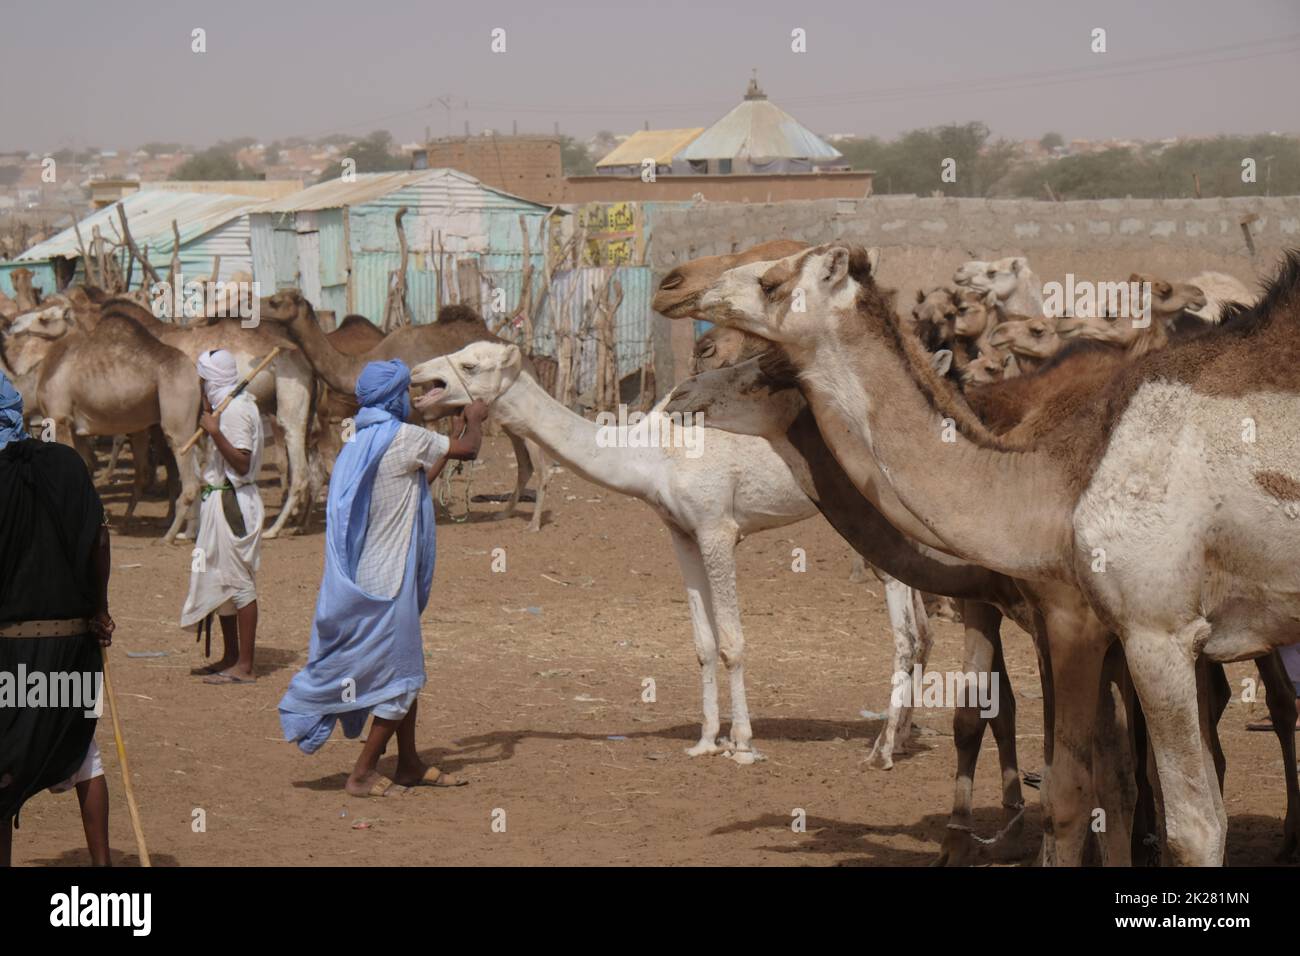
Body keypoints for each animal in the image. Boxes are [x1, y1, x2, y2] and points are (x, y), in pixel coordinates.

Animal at [258, 287, 548, 535]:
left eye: (275, 301)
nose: (254, 304)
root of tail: (528, 362)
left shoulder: (421, 416)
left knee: (541, 464)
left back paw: (534, 523)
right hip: (510, 419)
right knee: (524, 463)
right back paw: (505, 513)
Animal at [686, 240, 1300, 868]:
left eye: (772, 281)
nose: (686, 294)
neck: (1056, 480)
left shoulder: (1139, 628)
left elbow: (1139, 808)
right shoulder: (1096, 625)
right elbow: (1074, 763)